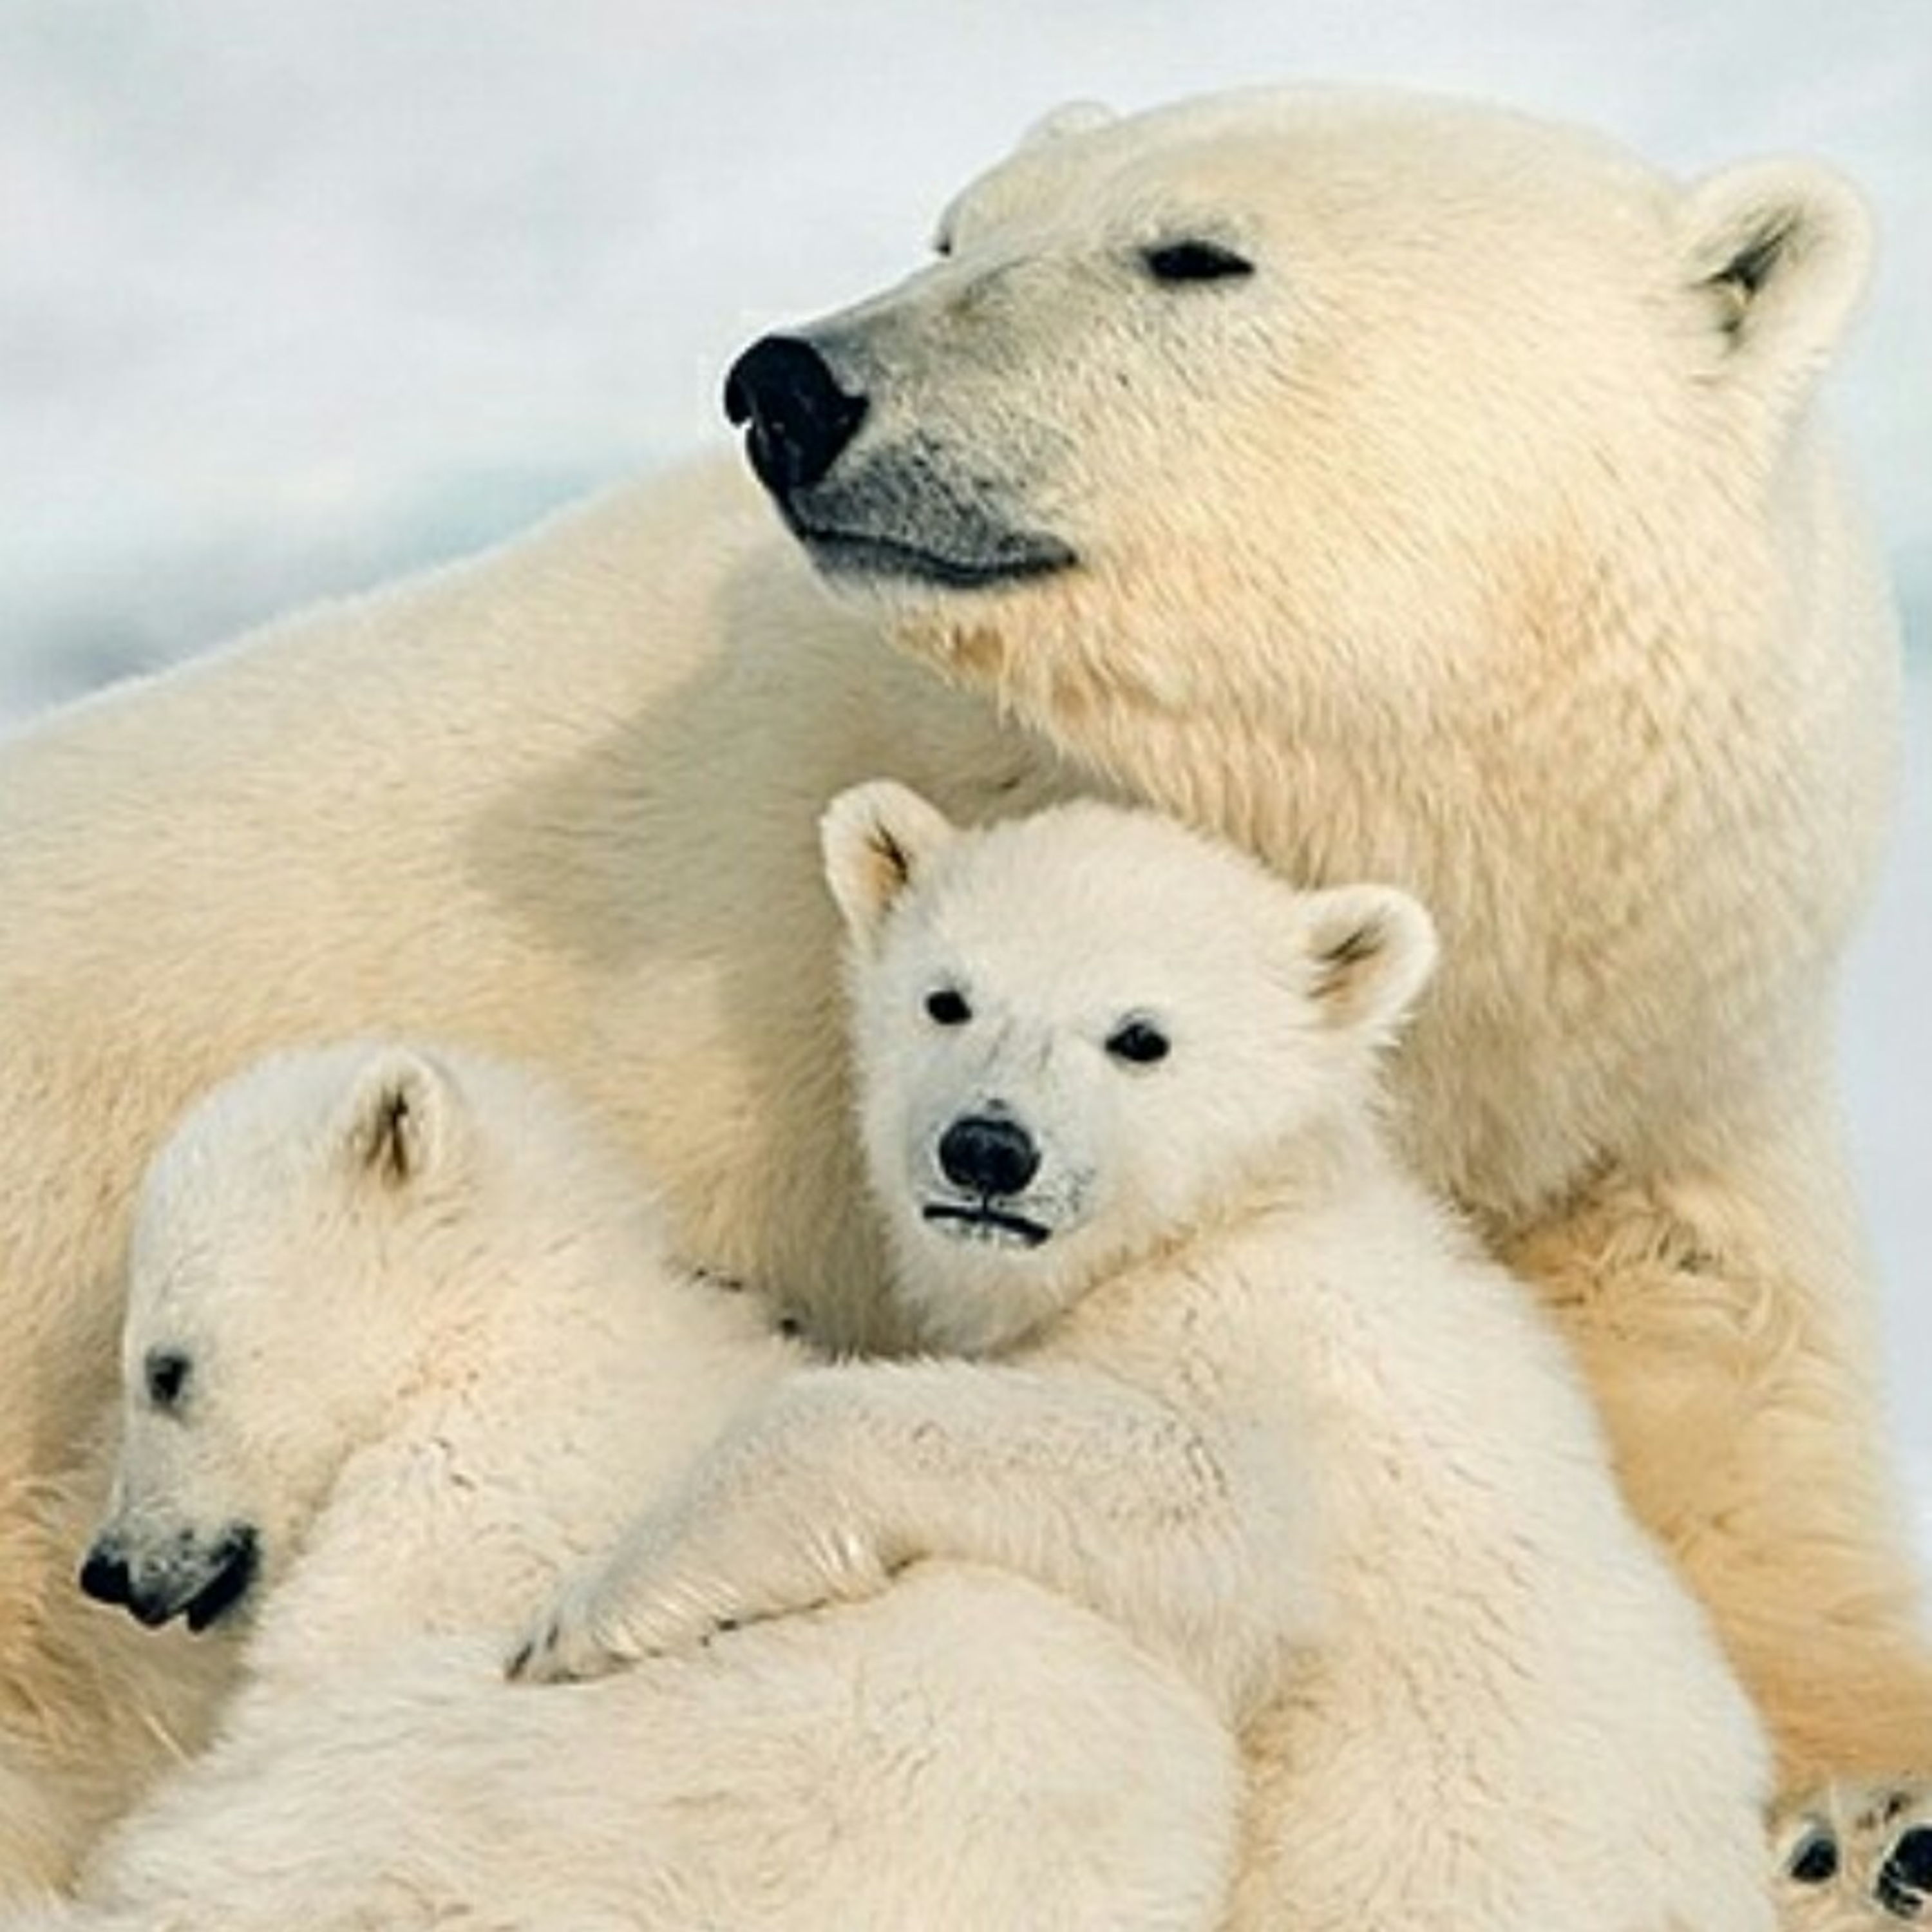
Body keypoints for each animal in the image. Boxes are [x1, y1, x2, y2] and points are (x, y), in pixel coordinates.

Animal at [514, 780, 1778, 1932]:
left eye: (1141, 1038)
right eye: (947, 998)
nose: (988, 1149)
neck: (1223, 1212)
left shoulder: (1259, 1360)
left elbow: (1196, 1497)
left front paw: (586, 1616)